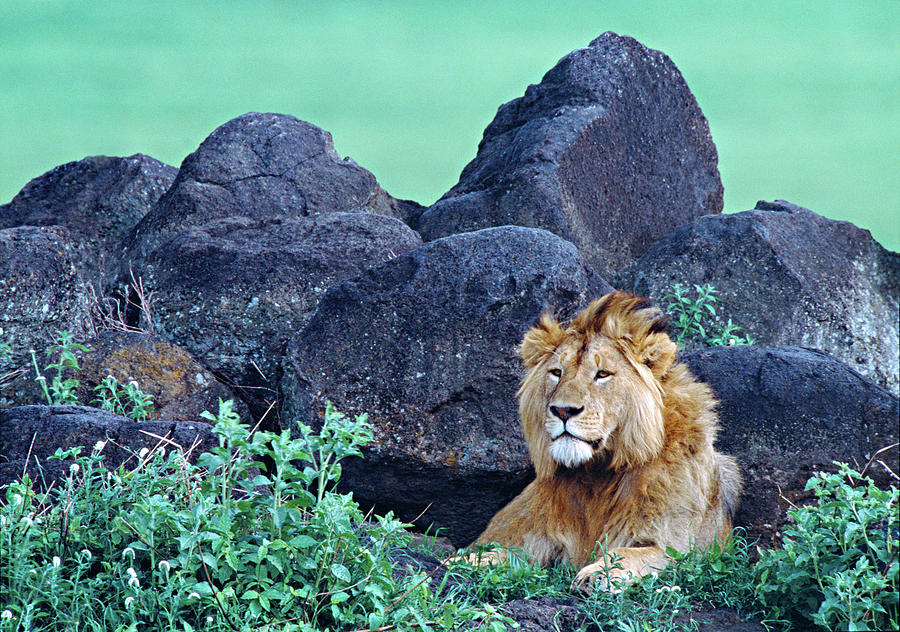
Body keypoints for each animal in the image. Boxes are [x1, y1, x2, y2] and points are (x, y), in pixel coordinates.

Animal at [460, 292, 740, 592]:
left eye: (602, 374)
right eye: (556, 372)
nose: (563, 411)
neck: (596, 476)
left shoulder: (682, 549)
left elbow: (632, 553)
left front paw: (598, 573)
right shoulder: (534, 537)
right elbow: (503, 552)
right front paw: (460, 563)